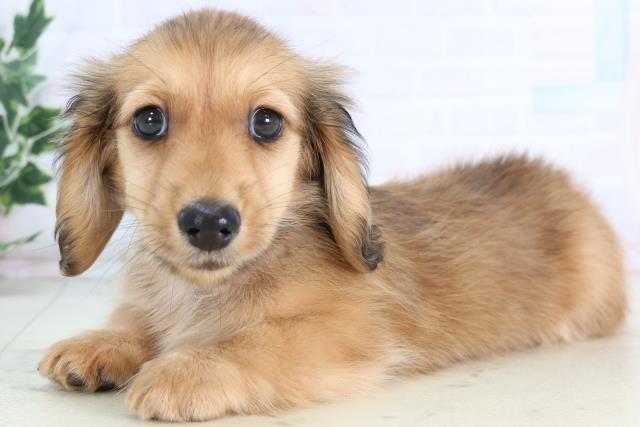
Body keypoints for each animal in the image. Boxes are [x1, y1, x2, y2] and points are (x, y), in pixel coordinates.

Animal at [38, 10, 627, 421]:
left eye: (267, 122)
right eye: (149, 120)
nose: (208, 223)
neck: (207, 289)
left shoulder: (347, 334)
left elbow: (256, 341)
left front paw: (189, 369)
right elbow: (141, 322)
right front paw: (102, 344)